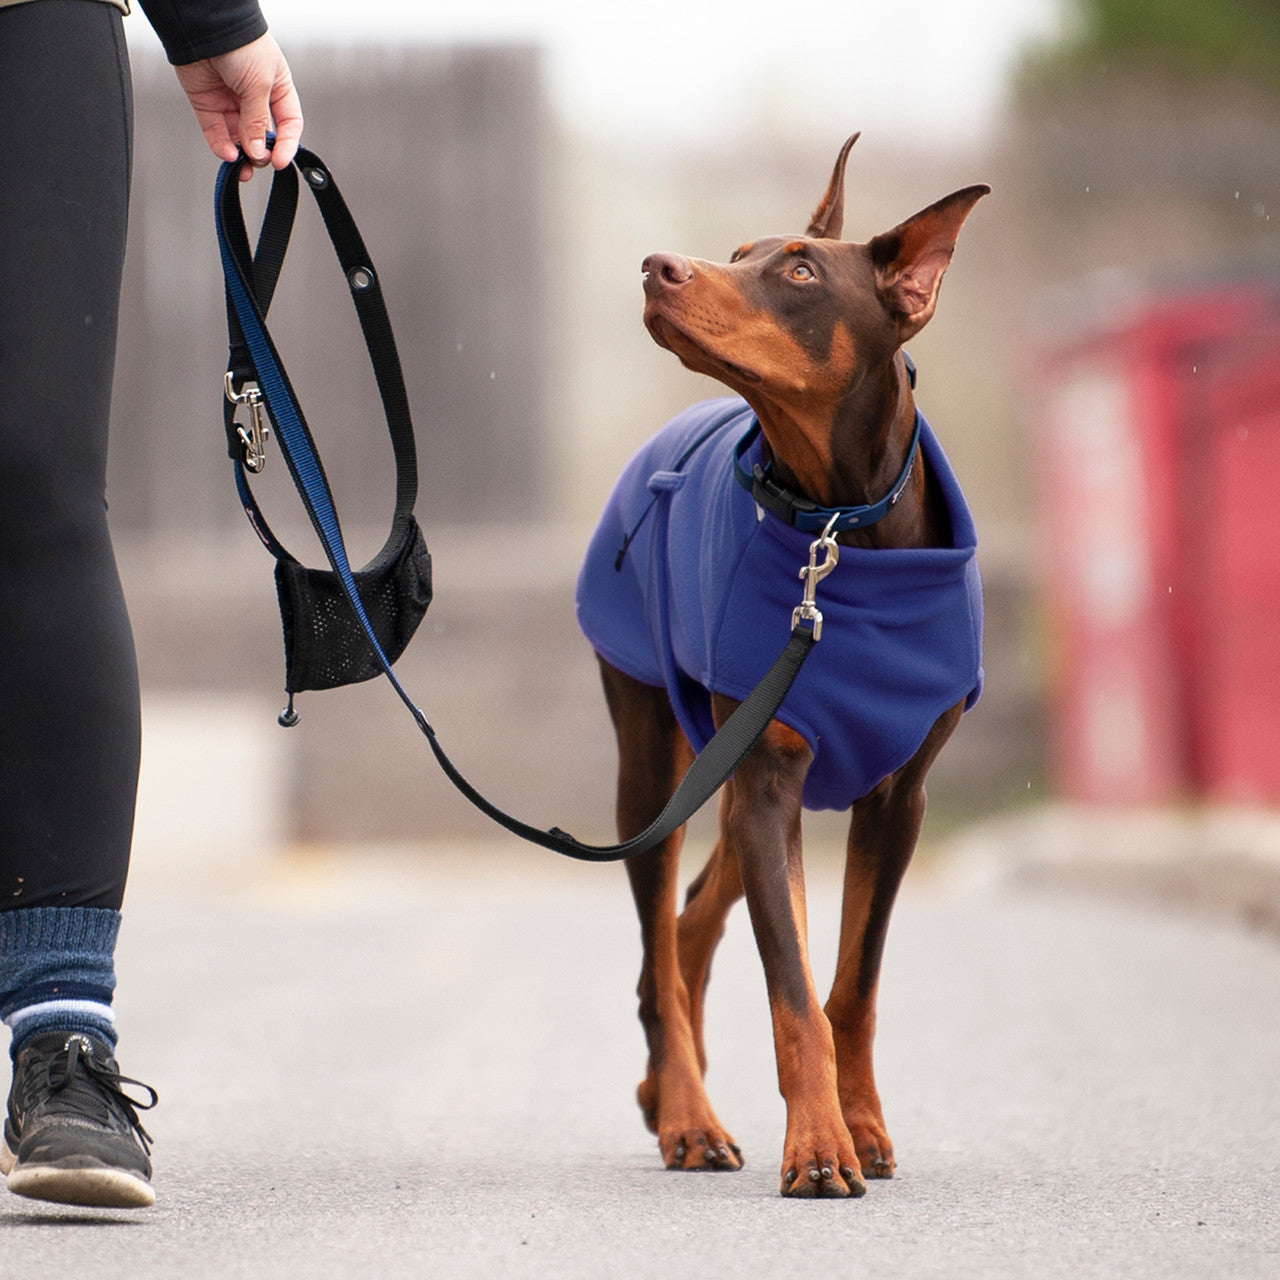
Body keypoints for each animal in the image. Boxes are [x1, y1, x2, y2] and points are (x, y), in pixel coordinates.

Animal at [581, 135, 988, 1192]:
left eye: (800, 272)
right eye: (736, 251)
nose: (658, 266)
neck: (840, 525)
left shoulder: (897, 799)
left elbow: (851, 986)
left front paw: (861, 1122)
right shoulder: (768, 776)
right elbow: (796, 990)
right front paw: (817, 1145)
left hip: (730, 773)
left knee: (688, 926)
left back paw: (670, 1088)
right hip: (658, 765)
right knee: (661, 944)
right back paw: (687, 1115)